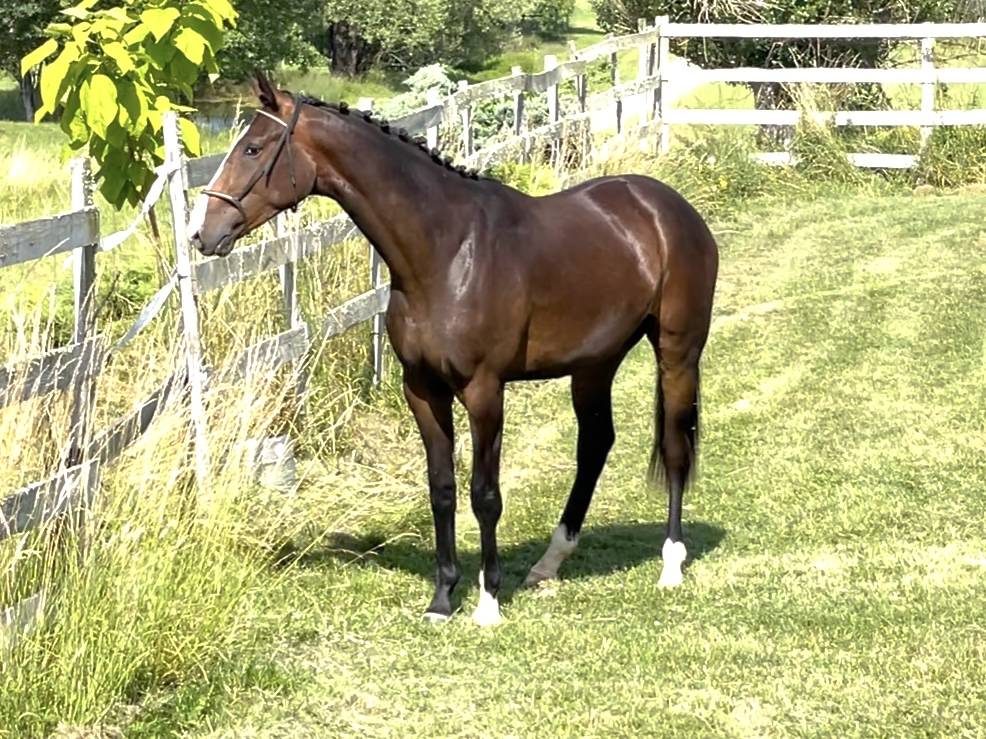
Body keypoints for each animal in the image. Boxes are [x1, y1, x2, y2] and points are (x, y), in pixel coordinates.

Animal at [189, 74, 718, 626]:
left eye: (252, 148)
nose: (202, 232)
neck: (446, 252)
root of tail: (667, 206)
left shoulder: (484, 391)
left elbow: (485, 494)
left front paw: (488, 601)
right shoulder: (423, 390)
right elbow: (441, 488)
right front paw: (443, 598)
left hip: (677, 352)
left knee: (675, 446)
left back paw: (671, 564)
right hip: (595, 364)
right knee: (595, 445)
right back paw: (549, 563)